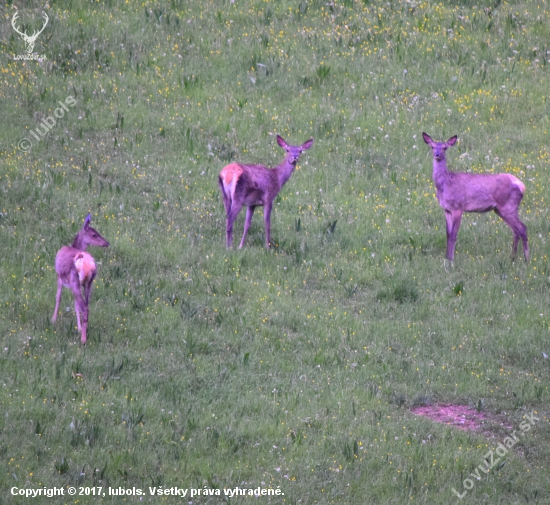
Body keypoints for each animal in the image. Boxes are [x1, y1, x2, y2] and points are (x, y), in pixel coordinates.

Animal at [52, 213, 110, 342]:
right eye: (94, 234)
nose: (107, 243)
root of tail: (88, 265)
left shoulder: (59, 276)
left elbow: (58, 297)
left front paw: (53, 320)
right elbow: (75, 305)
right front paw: (79, 328)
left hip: (74, 280)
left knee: (84, 307)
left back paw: (83, 340)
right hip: (88, 283)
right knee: (86, 306)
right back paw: (85, 330)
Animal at [422, 132, 532, 262]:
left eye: (445, 147)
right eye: (432, 147)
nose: (437, 154)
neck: (445, 185)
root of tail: (522, 185)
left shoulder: (458, 207)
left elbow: (453, 234)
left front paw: (451, 260)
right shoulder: (446, 209)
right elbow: (448, 234)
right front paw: (447, 258)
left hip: (508, 205)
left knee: (522, 228)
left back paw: (526, 259)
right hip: (499, 209)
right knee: (515, 230)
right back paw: (512, 258)